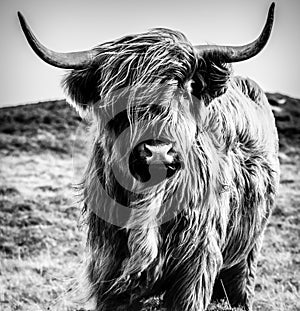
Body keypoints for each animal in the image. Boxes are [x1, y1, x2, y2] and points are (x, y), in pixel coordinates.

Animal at [18, 3, 280, 311]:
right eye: (117, 96)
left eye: (185, 88)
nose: (157, 151)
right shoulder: (107, 270)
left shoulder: (196, 268)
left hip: (248, 250)